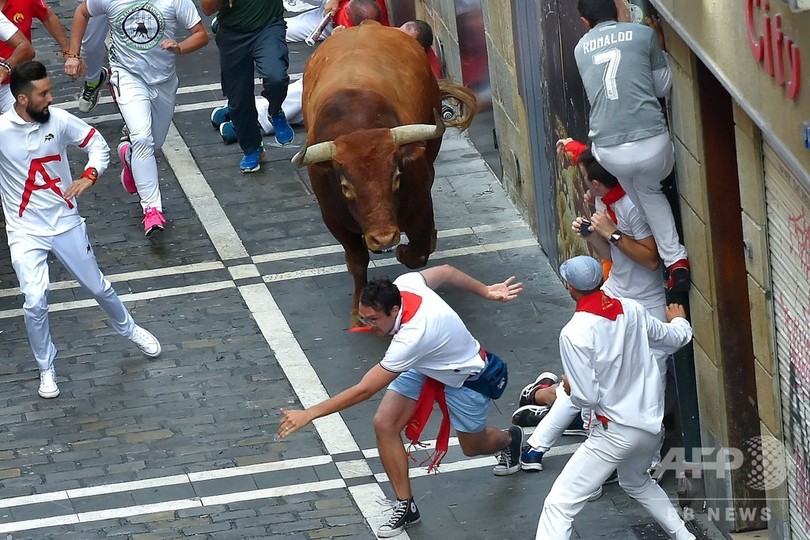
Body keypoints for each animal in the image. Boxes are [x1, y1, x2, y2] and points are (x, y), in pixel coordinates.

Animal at [290, 21, 474, 324]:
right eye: (345, 187)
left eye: (397, 177)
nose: (384, 238)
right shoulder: (333, 219)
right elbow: (357, 260)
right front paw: (358, 309)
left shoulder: (421, 203)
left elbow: (417, 252)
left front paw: (407, 248)